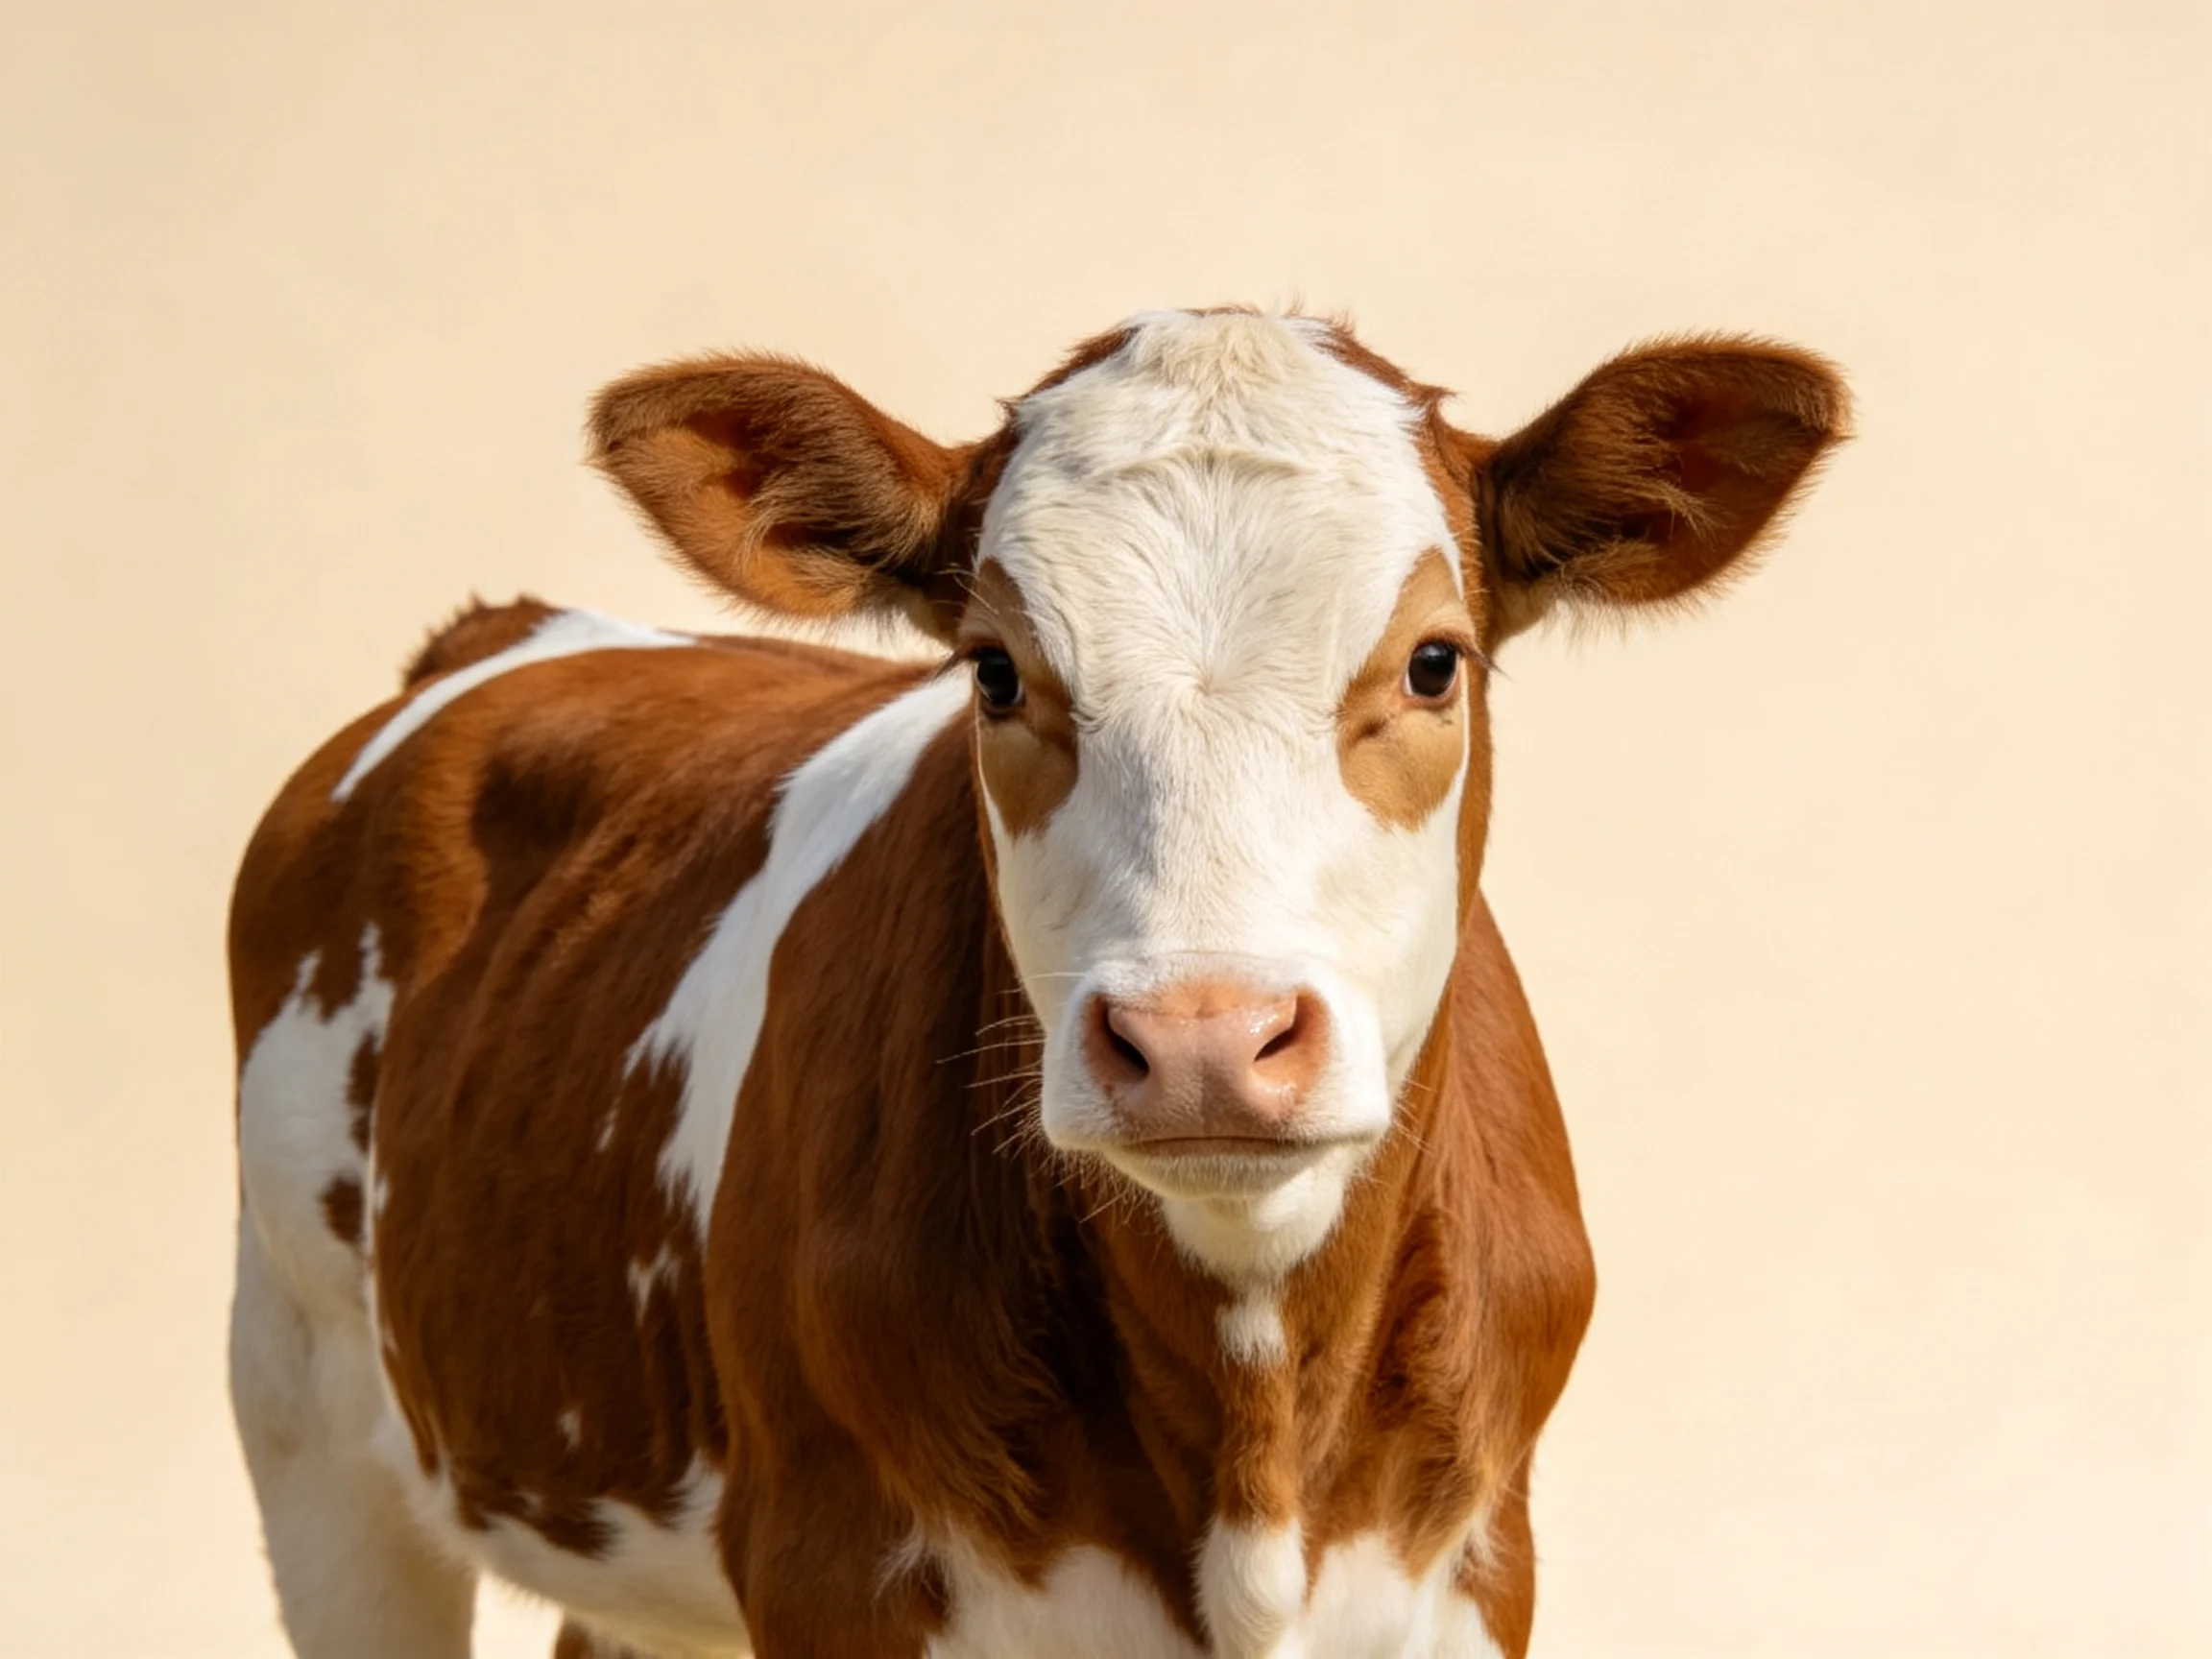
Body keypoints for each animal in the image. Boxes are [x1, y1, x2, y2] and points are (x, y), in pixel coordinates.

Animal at [228, 309, 1847, 1658]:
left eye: (1435, 662)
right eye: (996, 672)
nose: (1202, 1041)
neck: (1252, 1439)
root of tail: (519, 627)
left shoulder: (1471, 1568)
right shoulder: (834, 1565)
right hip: (308, 1410)